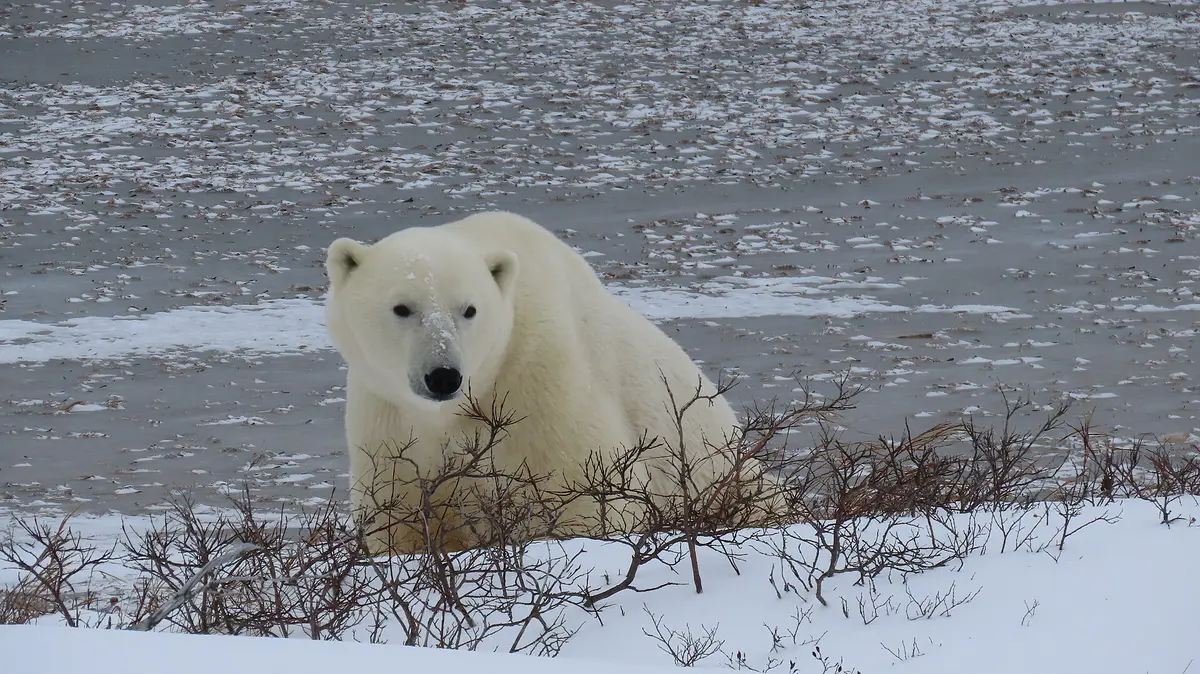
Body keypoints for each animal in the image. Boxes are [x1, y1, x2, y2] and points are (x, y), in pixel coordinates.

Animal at [323, 211, 784, 555]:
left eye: (469, 309)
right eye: (402, 307)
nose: (443, 376)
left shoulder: (540, 380)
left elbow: (583, 497)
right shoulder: (387, 417)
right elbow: (399, 514)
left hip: (728, 476)